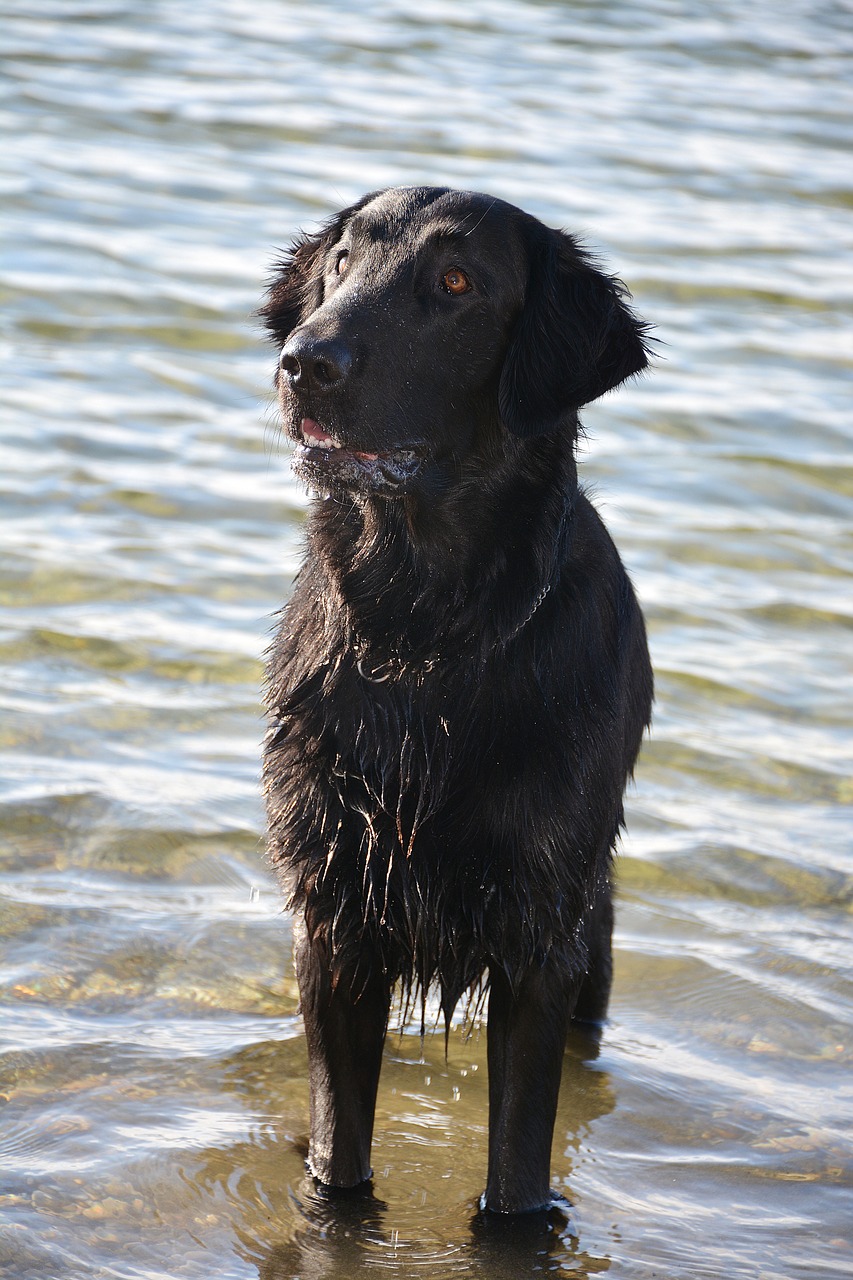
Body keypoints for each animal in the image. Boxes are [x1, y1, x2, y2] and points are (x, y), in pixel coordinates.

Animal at [258, 185, 650, 1213]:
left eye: (457, 281)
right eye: (341, 262)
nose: (303, 361)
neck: (425, 640)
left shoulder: (538, 940)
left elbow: (516, 1177)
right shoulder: (334, 916)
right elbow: (338, 1162)